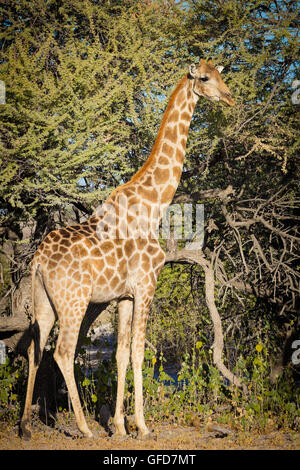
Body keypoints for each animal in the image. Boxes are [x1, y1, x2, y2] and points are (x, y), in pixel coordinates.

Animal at [20, 59, 234, 440]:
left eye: (222, 75)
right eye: (206, 78)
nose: (229, 97)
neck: (155, 204)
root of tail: (38, 261)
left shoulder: (123, 296)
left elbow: (119, 354)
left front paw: (119, 426)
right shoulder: (146, 286)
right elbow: (137, 352)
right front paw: (142, 425)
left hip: (44, 302)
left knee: (35, 348)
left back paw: (27, 425)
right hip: (74, 301)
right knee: (63, 352)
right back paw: (83, 428)